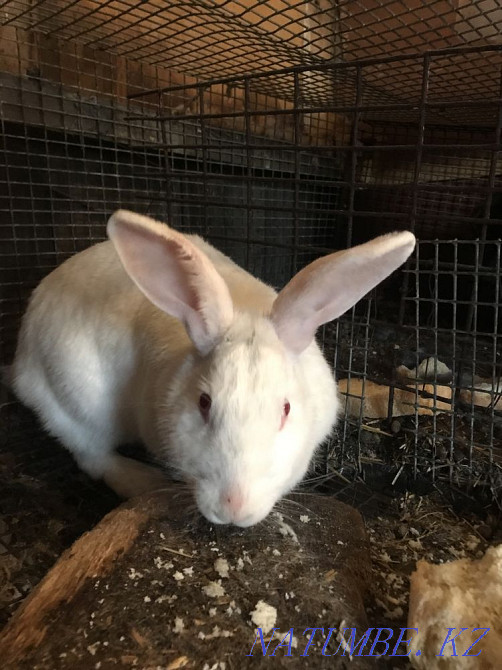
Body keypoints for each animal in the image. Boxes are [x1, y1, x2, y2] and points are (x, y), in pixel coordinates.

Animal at [11, 210, 416, 526]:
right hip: (73, 401)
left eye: (285, 409)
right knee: (92, 455)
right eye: (203, 403)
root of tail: (21, 359)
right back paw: (143, 480)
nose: (233, 507)